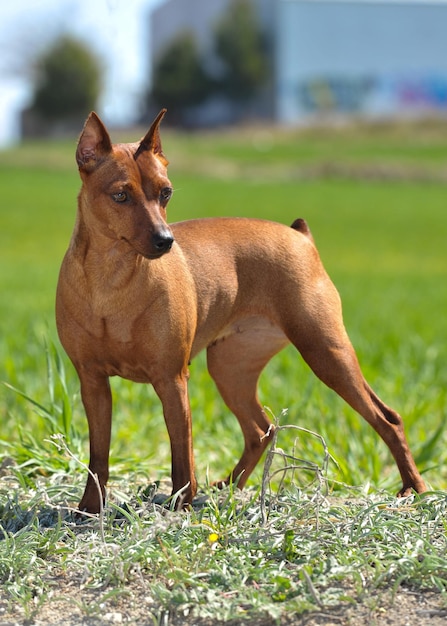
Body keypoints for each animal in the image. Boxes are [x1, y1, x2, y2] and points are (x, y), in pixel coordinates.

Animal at [56, 111, 428, 512]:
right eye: (121, 195)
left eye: (166, 192)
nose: (165, 240)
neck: (111, 279)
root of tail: (301, 237)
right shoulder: (92, 381)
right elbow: (99, 456)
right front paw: (89, 508)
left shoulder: (172, 379)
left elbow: (181, 452)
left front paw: (180, 506)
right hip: (230, 368)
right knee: (260, 429)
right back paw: (228, 488)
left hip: (327, 353)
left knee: (387, 418)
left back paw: (415, 488)